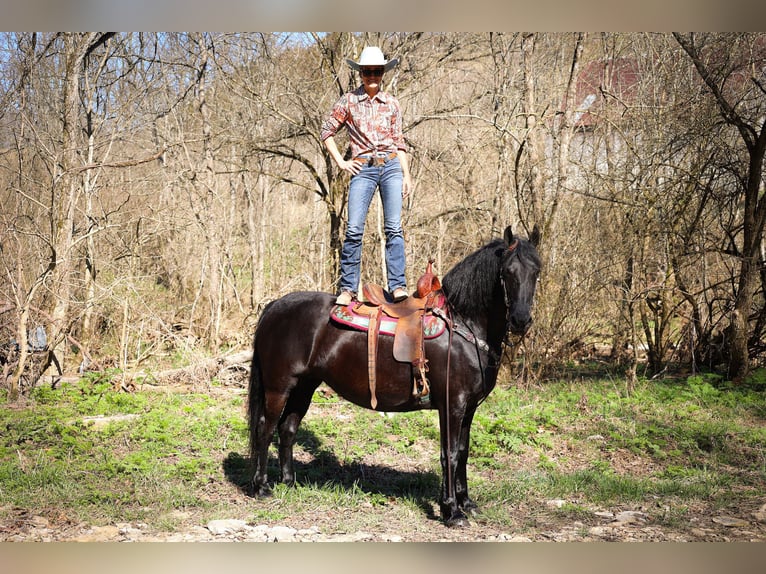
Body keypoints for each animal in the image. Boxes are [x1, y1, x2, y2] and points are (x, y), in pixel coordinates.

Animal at [249, 224, 544, 528]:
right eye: (507, 271)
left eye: (536, 271)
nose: (521, 320)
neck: (465, 326)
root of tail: (274, 306)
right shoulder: (452, 405)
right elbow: (449, 454)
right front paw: (451, 511)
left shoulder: (469, 407)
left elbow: (463, 452)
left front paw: (466, 503)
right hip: (279, 387)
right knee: (265, 428)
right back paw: (261, 487)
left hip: (304, 387)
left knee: (287, 429)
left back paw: (289, 482)